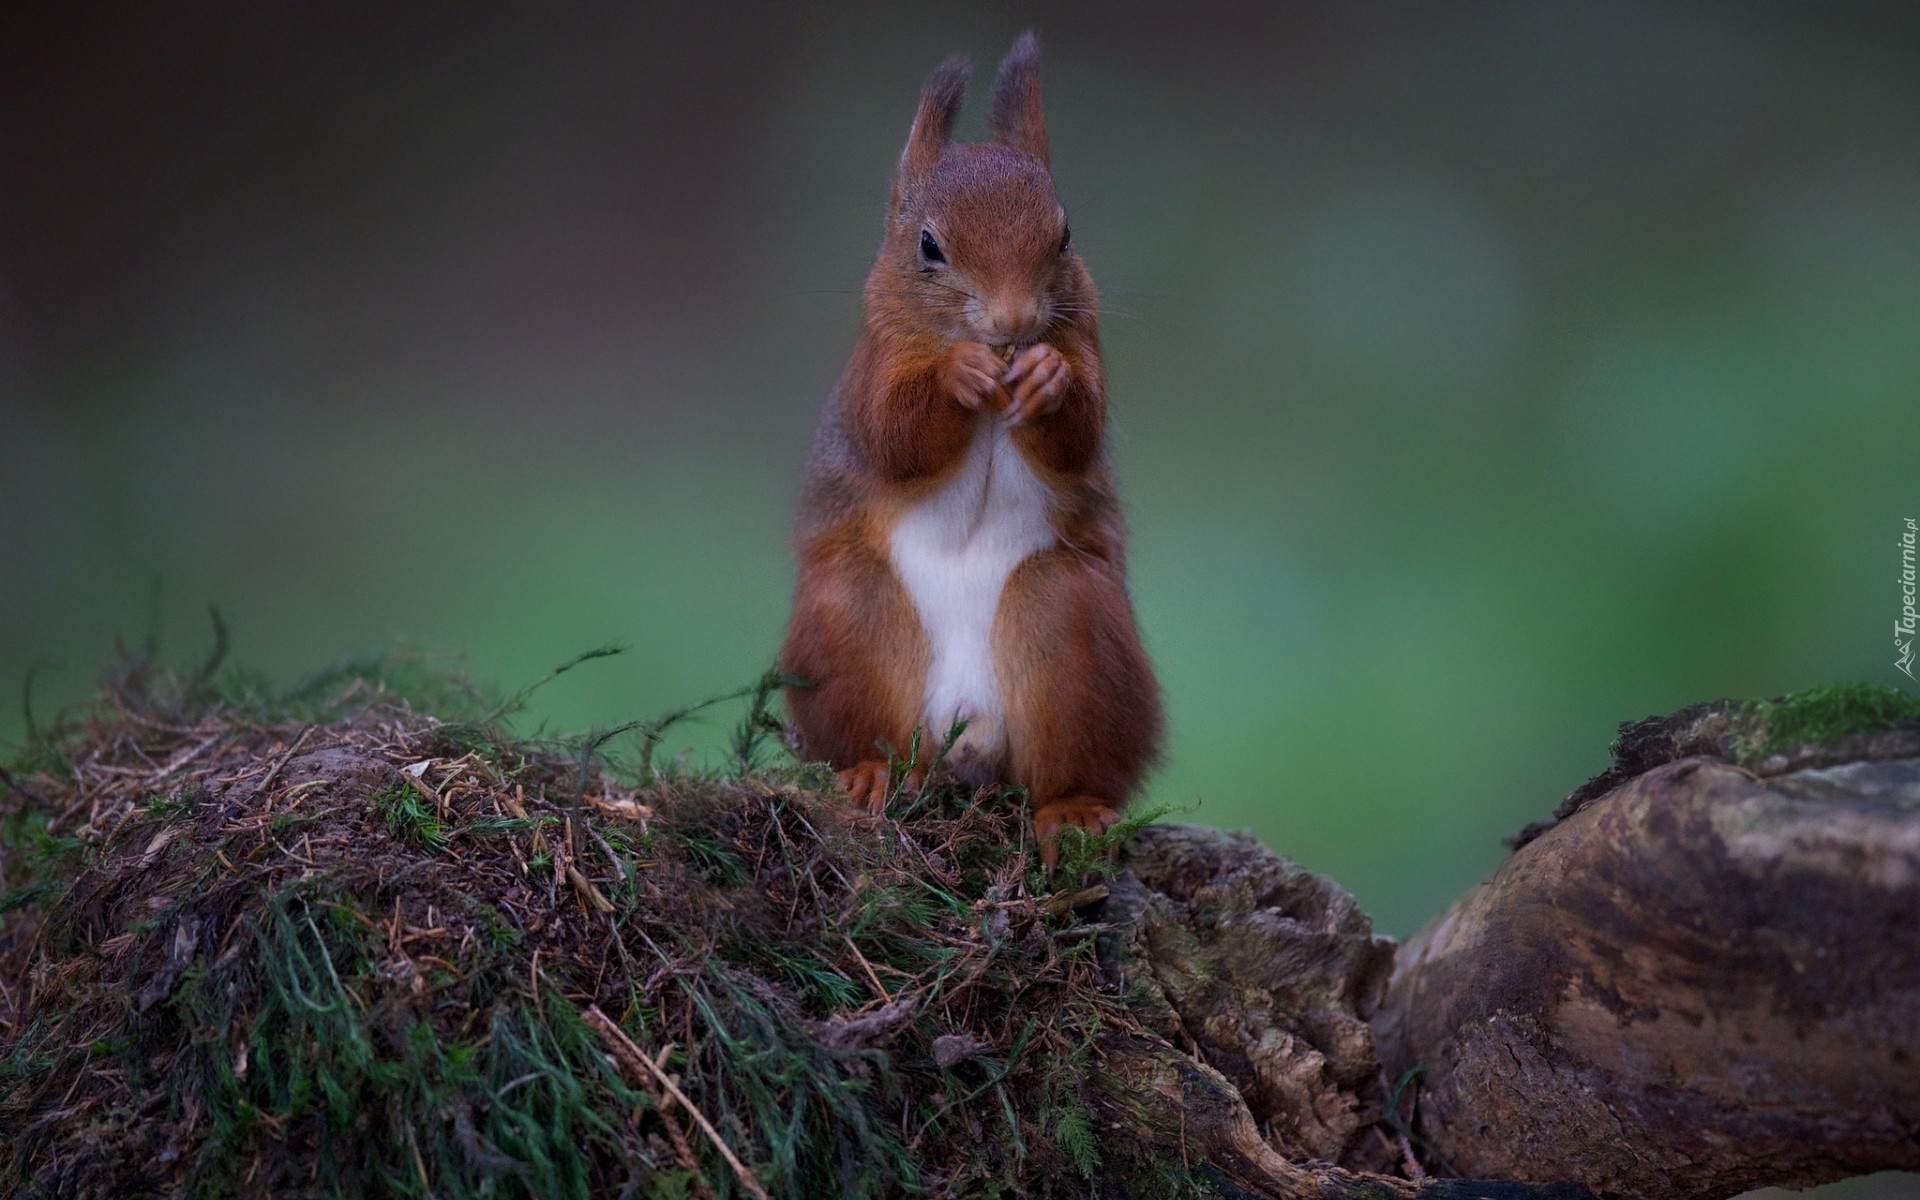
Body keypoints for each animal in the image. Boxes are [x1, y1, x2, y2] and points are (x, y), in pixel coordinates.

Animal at [775, 32, 1159, 860]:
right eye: (928, 245)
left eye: (1065, 234)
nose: (1014, 324)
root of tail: (966, 732)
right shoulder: (875, 368)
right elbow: (893, 436)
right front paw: (960, 375)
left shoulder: (1089, 348)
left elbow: (1078, 437)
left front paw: (1047, 379)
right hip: (850, 620)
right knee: (869, 730)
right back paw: (867, 775)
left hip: (1070, 628)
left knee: (1066, 763)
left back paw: (1072, 809)